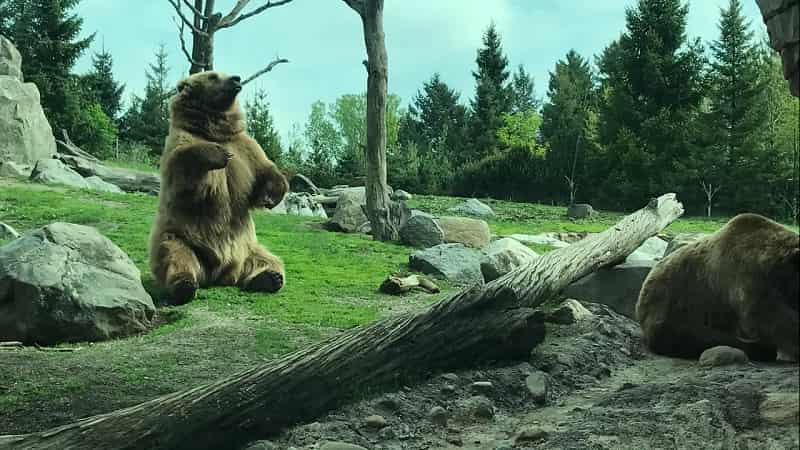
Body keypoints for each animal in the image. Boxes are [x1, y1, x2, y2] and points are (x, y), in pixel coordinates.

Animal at [148, 70, 290, 306]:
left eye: (224, 73)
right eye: (213, 76)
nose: (236, 78)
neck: (215, 130)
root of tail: (221, 275)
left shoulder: (245, 147)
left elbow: (264, 168)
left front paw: (271, 196)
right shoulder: (180, 141)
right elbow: (183, 175)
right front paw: (217, 154)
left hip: (248, 248)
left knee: (268, 259)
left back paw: (269, 278)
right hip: (180, 237)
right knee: (176, 256)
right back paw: (184, 286)